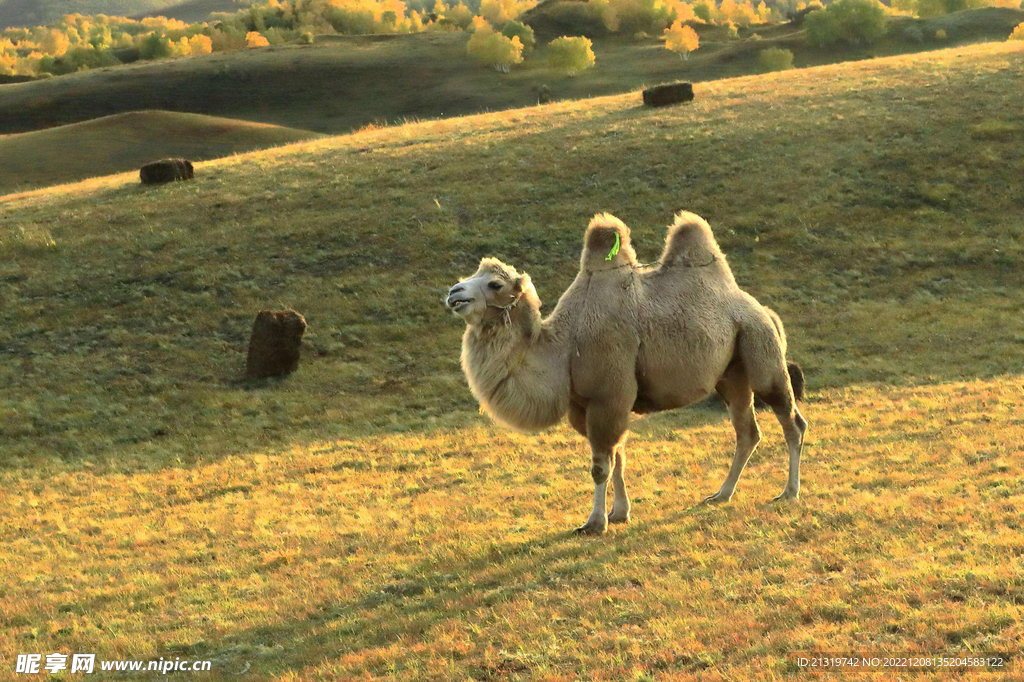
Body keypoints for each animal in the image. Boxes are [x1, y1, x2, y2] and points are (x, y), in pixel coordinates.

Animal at [448, 209, 806, 532]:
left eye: (495, 283)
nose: (454, 292)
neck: (565, 345)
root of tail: (764, 310)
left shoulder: (609, 395)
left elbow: (601, 466)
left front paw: (595, 523)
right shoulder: (586, 406)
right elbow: (617, 458)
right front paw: (619, 513)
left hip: (760, 348)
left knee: (790, 419)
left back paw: (788, 492)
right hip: (731, 374)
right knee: (747, 431)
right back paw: (721, 494)